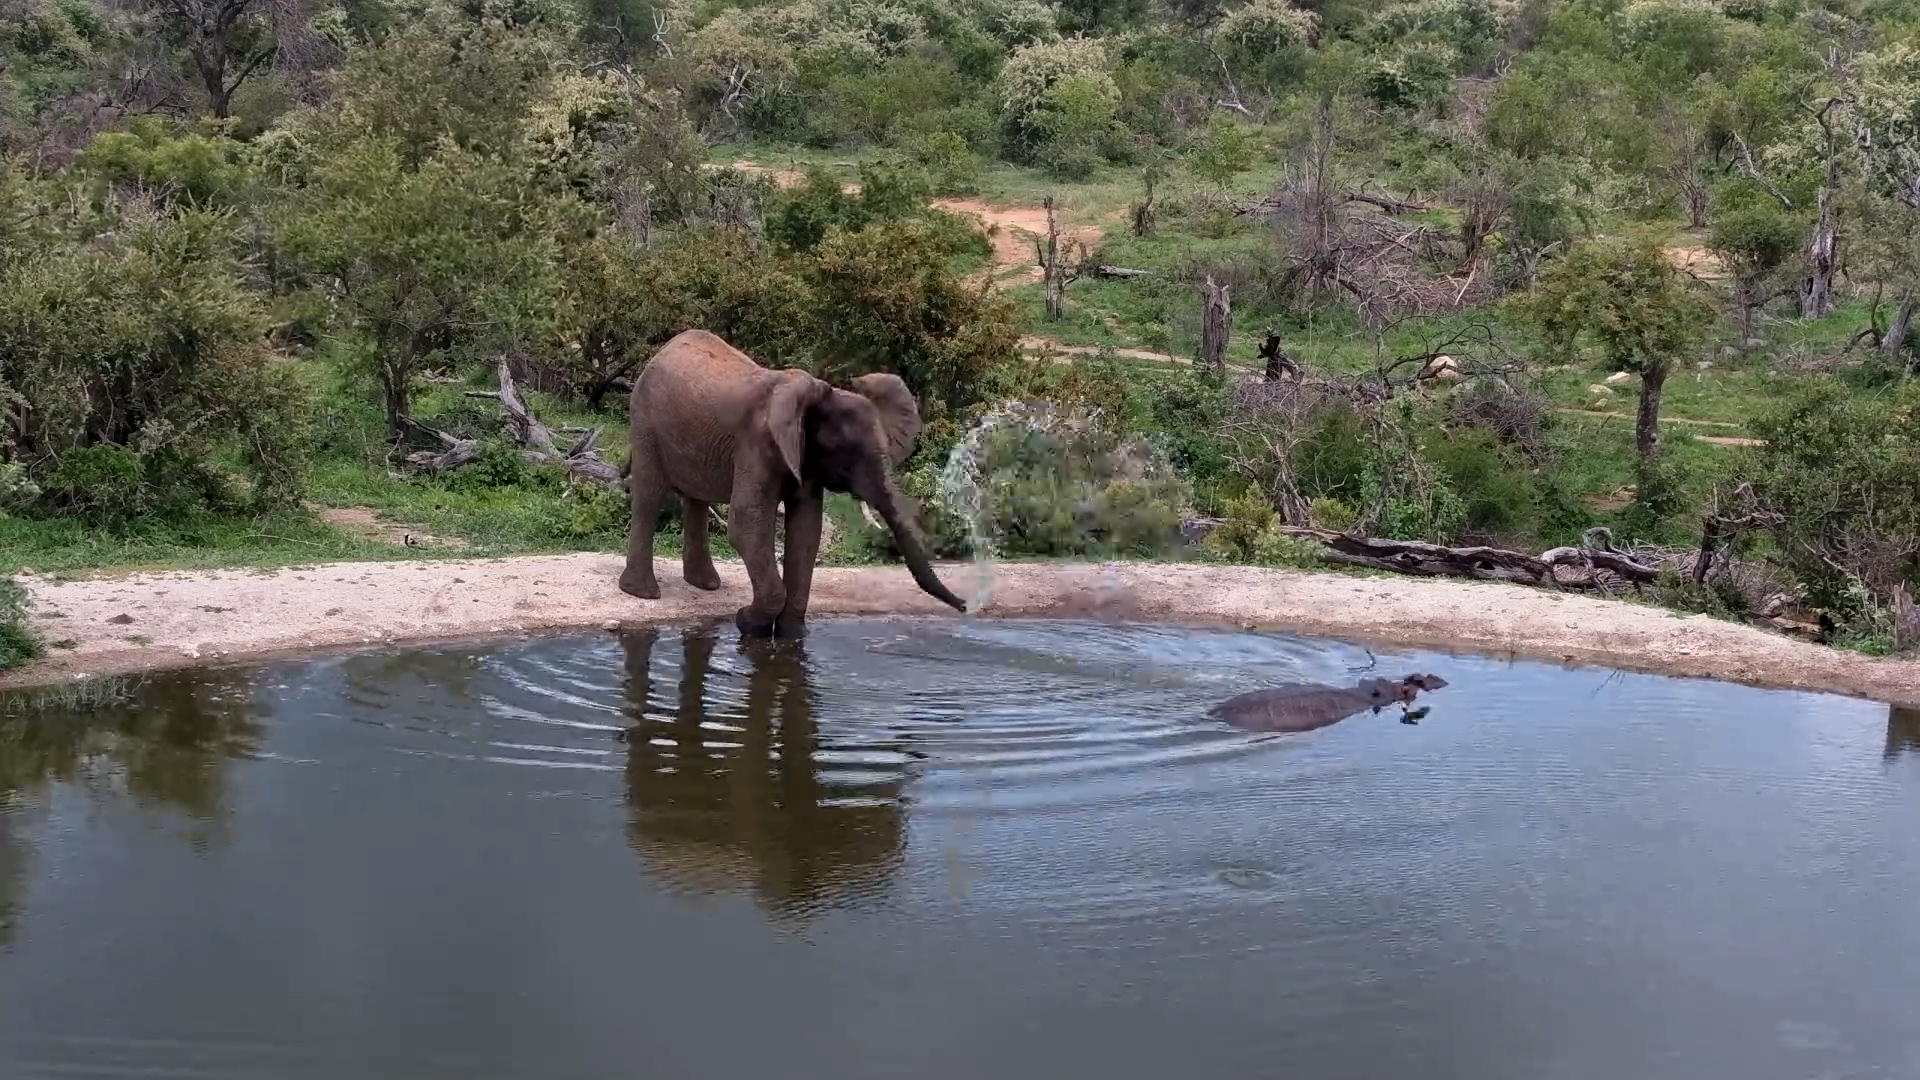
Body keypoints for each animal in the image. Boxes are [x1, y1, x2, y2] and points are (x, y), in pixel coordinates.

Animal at [619, 329, 968, 637]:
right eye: (847, 454)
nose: (966, 606)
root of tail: (663, 349)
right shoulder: (757, 446)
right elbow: (747, 524)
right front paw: (747, 624)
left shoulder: (806, 460)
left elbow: (805, 531)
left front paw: (790, 635)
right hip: (644, 419)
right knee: (649, 495)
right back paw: (643, 593)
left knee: (696, 499)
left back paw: (706, 585)